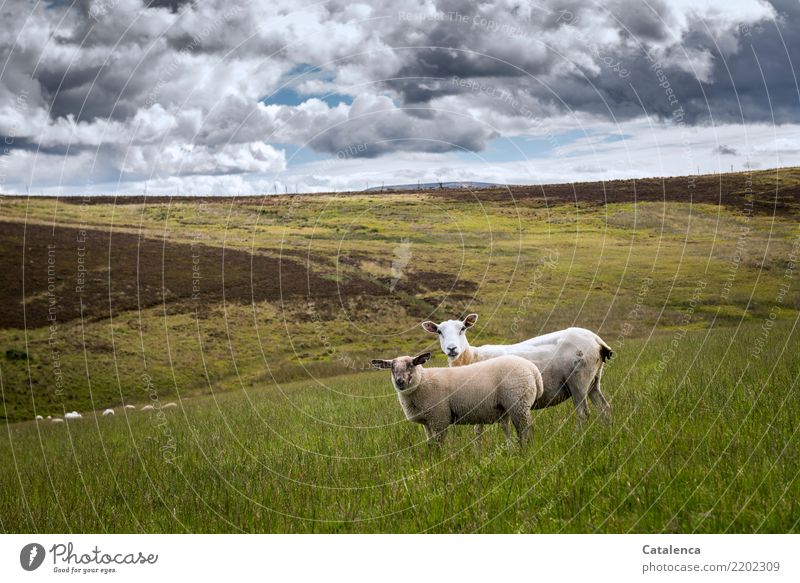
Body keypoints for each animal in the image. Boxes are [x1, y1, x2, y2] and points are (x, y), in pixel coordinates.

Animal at [372, 352, 540, 448]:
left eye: (411, 365)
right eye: (392, 368)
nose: (400, 381)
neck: (422, 382)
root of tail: (532, 369)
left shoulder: (439, 418)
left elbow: (439, 445)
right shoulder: (427, 422)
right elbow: (430, 444)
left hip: (519, 402)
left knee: (524, 429)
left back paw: (524, 451)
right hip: (505, 408)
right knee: (508, 430)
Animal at [422, 314, 616, 424]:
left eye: (463, 328)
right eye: (439, 331)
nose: (452, 349)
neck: (471, 357)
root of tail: (596, 339)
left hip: (578, 380)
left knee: (583, 413)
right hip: (594, 380)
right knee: (605, 409)